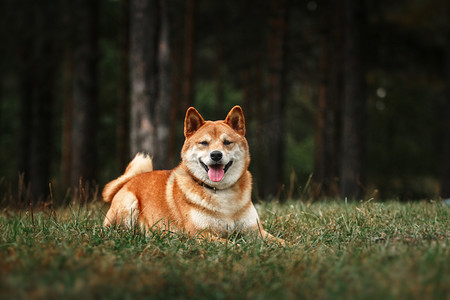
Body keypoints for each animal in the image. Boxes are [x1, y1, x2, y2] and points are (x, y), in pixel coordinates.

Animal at [102, 106, 284, 245]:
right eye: (204, 143)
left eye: (227, 142)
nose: (216, 155)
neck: (221, 193)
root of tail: (129, 181)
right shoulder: (200, 233)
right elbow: (233, 245)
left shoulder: (255, 230)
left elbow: (281, 242)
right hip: (128, 205)